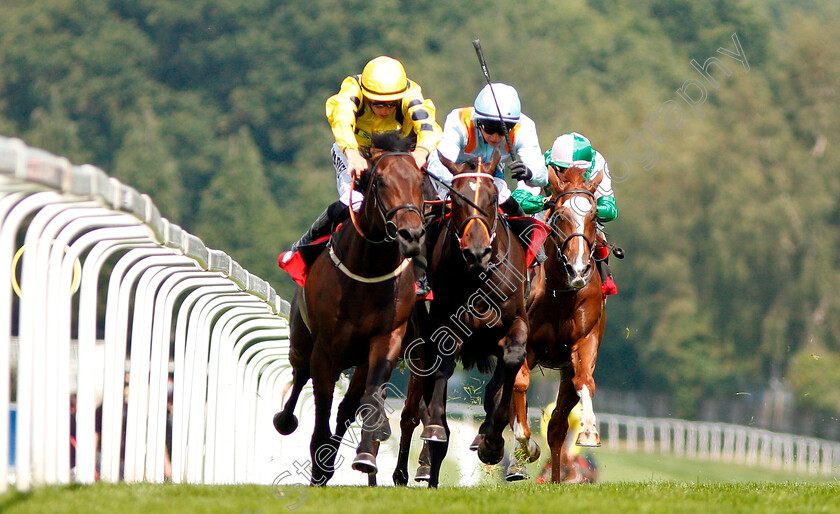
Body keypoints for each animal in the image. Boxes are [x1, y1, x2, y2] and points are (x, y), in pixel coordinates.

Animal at [272, 132, 424, 484]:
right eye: (380, 182)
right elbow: (322, 402)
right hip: (302, 339)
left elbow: (366, 398)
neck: (368, 269)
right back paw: (286, 422)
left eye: (420, 182)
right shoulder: (325, 348)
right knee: (299, 376)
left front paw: (365, 454)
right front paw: (318, 462)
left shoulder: (385, 340)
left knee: (347, 408)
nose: (411, 234)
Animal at [416, 147, 528, 484]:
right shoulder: (444, 325)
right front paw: (436, 428)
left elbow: (511, 363)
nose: (477, 251)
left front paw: (491, 441)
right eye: (457, 199)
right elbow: (441, 367)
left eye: (492, 198)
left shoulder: (517, 324)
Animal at [506, 163, 604, 480]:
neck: (560, 292)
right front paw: (524, 449)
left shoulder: (584, 343)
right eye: (560, 215)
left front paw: (589, 431)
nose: (578, 269)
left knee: (557, 428)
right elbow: (520, 387)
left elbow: (584, 382)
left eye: (594, 214)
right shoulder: (524, 346)